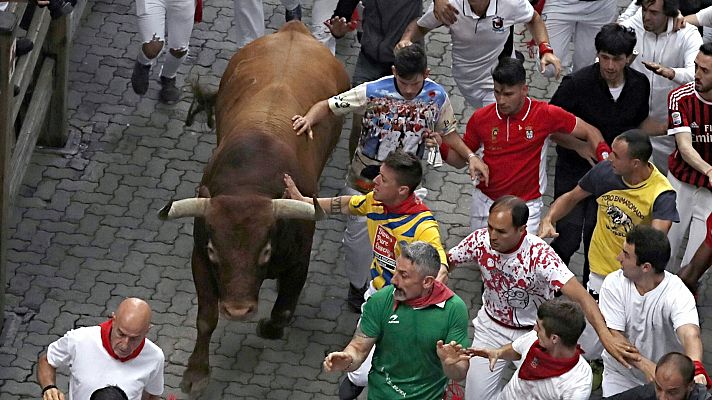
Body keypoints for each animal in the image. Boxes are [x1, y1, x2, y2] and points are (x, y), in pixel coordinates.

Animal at [157, 22, 350, 396]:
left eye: (266, 251)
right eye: (215, 251)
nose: (238, 309)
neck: (250, 180)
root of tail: (294, 30)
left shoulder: (300, 259)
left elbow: (284, 309)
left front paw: (269, 327)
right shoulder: (199, 259)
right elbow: (206, 318)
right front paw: (196, 371)